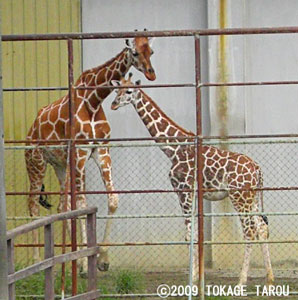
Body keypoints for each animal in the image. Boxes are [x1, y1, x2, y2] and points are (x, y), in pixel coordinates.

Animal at [25, 35, 156, 274]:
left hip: (60, 165)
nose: (151, 73)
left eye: (150, 51)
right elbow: (82, 204)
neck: (94, 101)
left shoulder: (101, 151)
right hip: (36, 162)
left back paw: (66, 259)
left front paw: (101, 258)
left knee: (62, 205)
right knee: (32, 204)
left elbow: (112, 200)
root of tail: (31, 130)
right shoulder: (81, 152)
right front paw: (86, 264)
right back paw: (37, 260)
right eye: (135, 52)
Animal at [110, 73, 274, 286]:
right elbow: (195, 232)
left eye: (129, 91)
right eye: (116, 90)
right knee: (262, 227)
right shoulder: (192, 193)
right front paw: (196, 275)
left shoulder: (183, 190)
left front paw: (193, 278)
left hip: (239, 197)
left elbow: (189, 233)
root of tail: (257, 169)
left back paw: (241, 281)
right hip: (252, 198)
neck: (172, 149)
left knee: (250, 232)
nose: (113, 104)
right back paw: (269, 278)